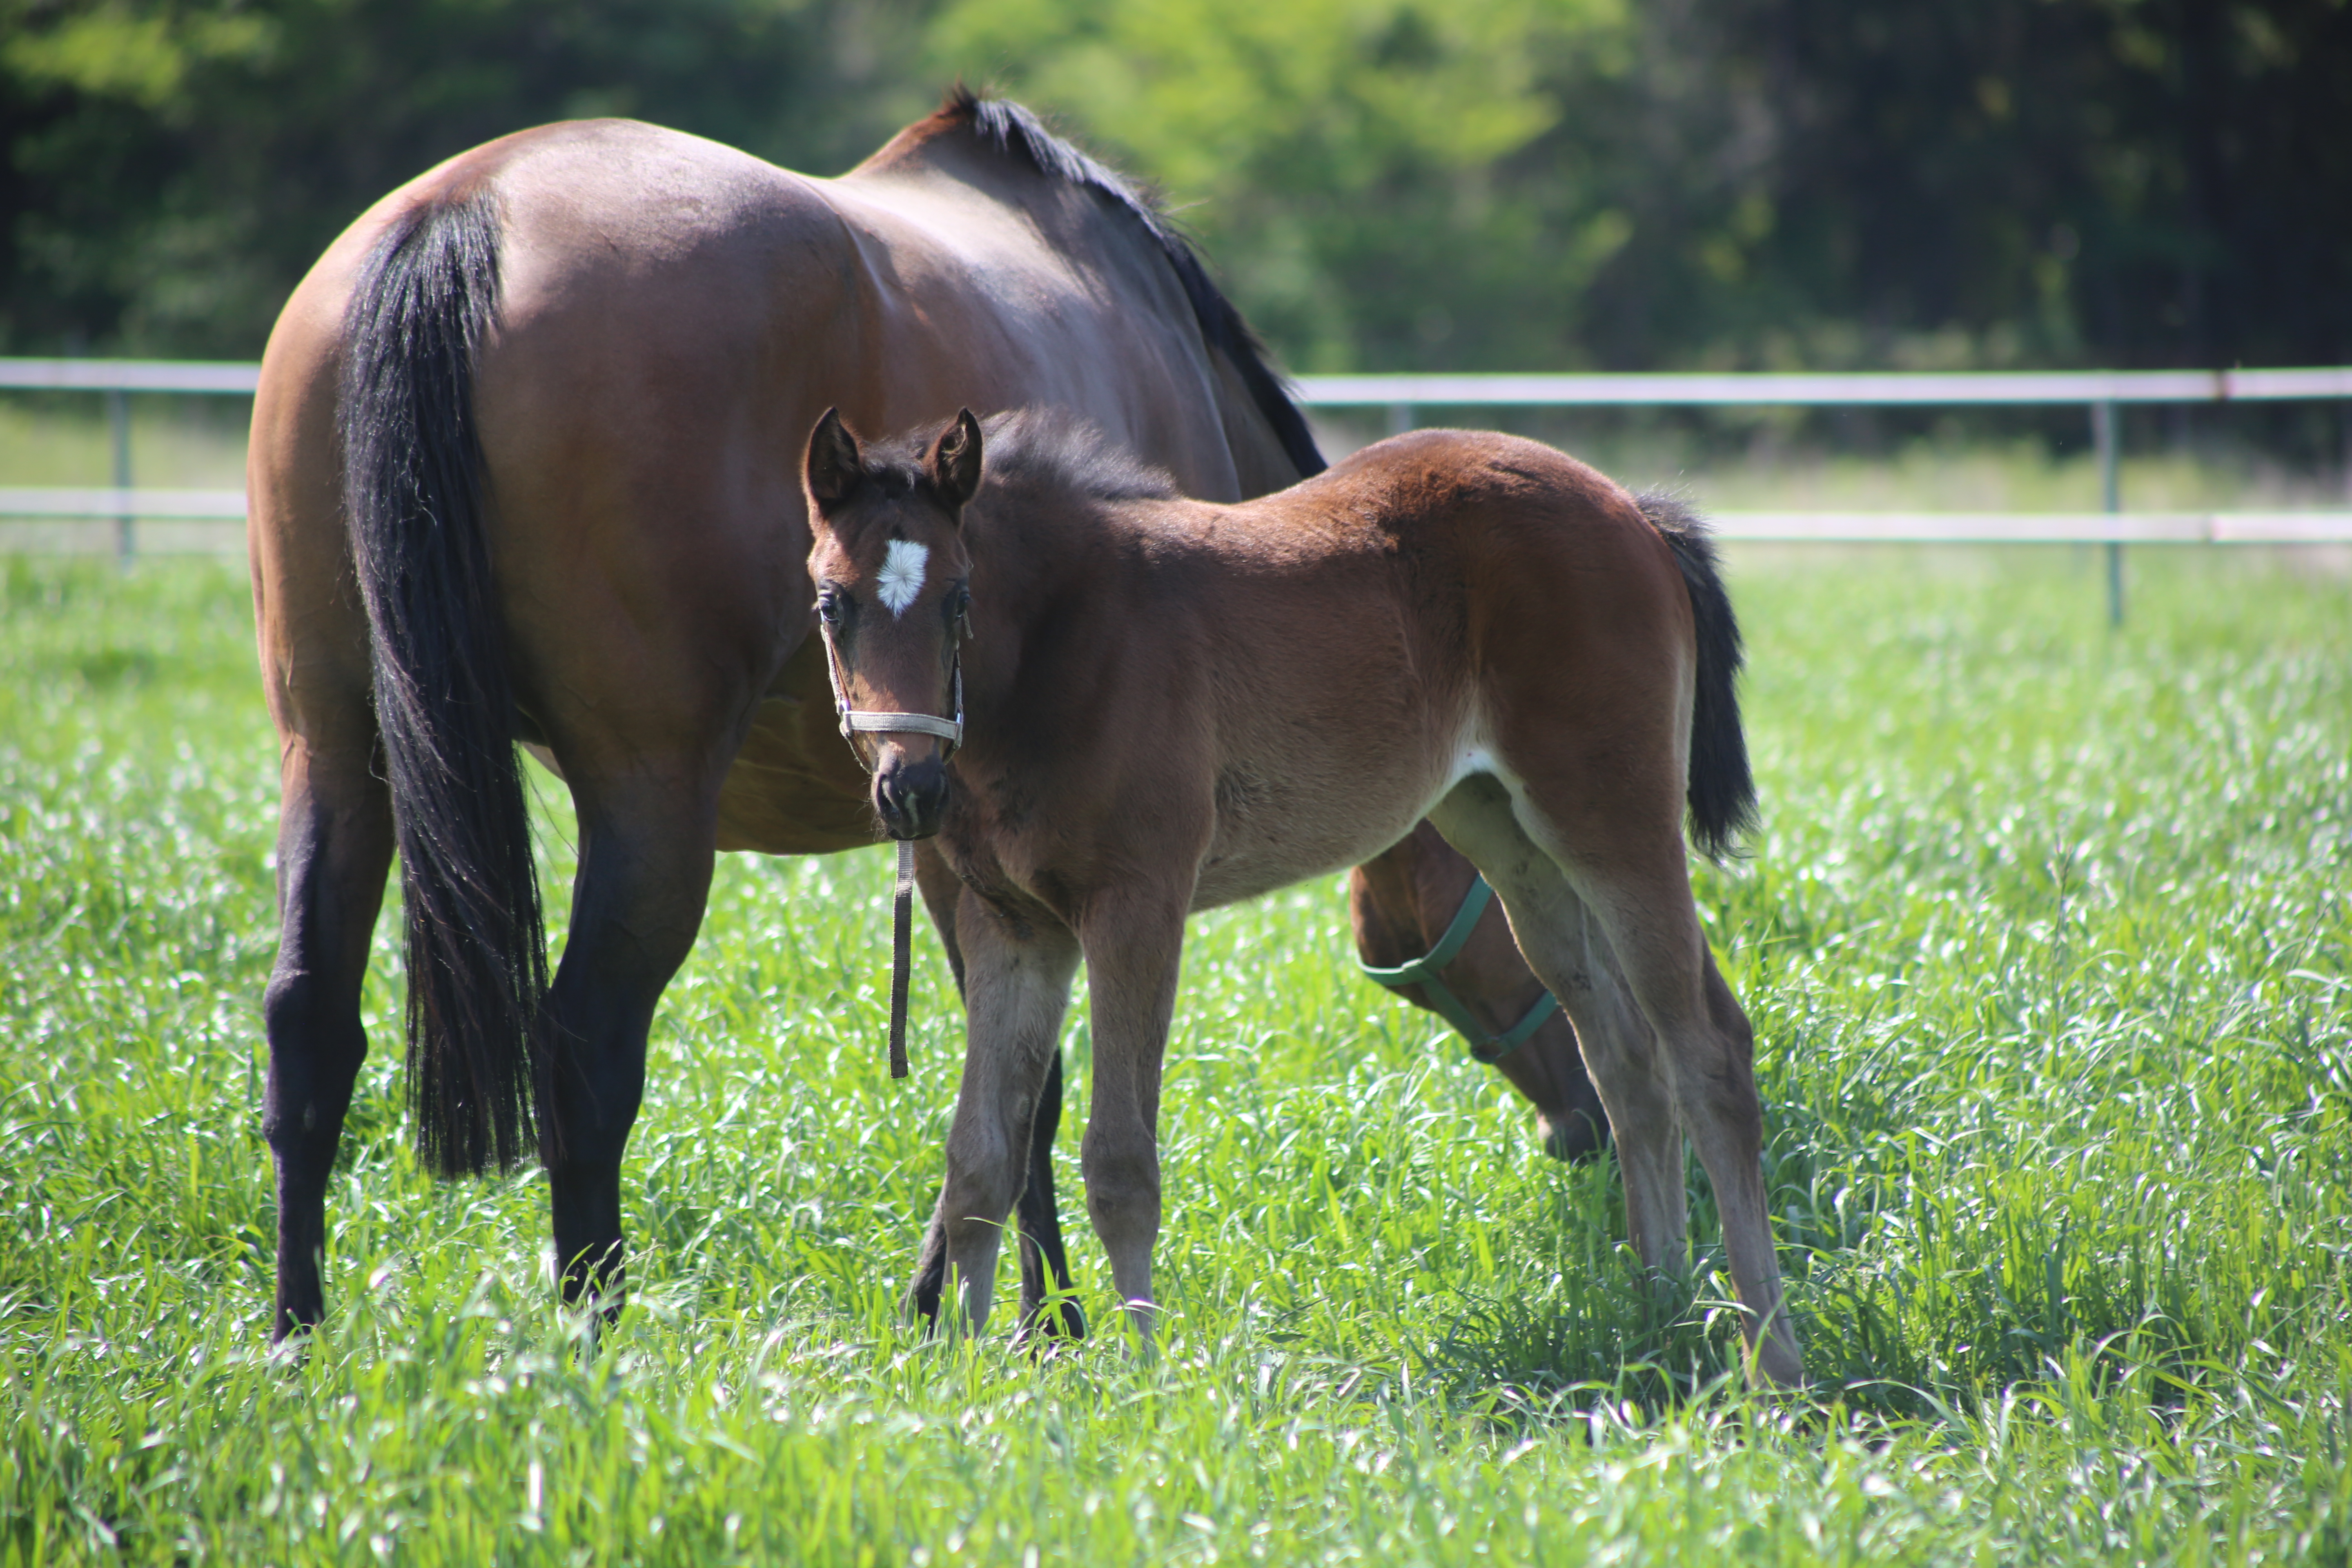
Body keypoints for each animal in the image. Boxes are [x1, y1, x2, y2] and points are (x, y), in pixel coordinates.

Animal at [804, 409, 1797, 1382]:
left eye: (959, 598)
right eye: (831, 603)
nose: (909, 789)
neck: (1064, 642)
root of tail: (1632, 507)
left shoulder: (1136, 907)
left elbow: (1118, 1161)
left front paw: (1147, 1381)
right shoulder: (1013, 926)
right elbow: (978, 1162)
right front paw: (965, 1381)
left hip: (1614, 821)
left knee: (1709, 1049)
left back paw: (1769, 1361)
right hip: (1513, 841)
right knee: (1628, 1061)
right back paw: (1662, 1312)